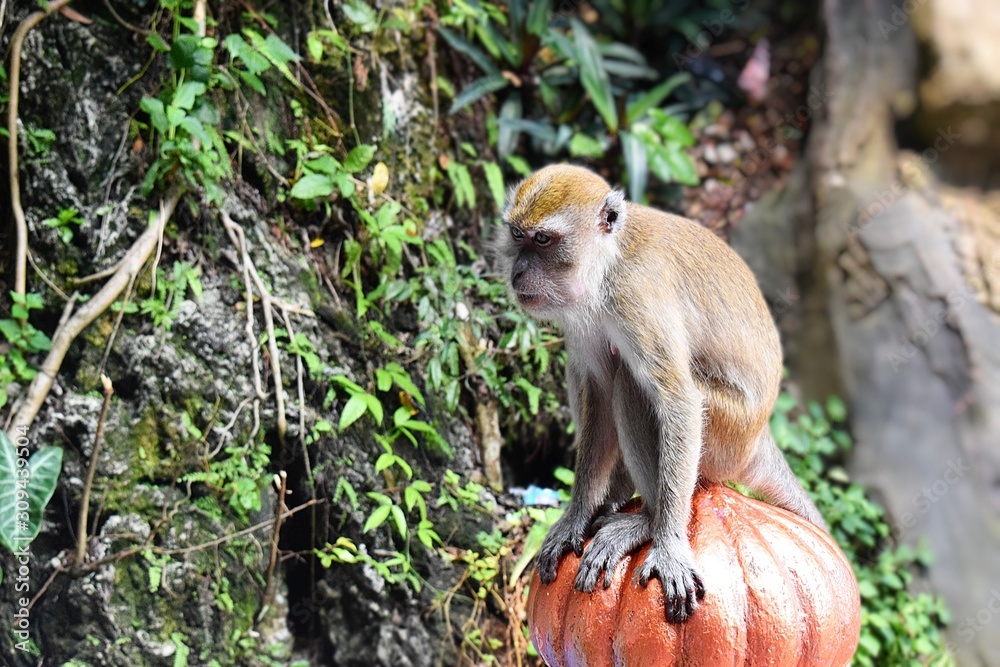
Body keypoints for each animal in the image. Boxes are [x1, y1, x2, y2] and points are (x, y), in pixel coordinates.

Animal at [496, 164, 826, 623]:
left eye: (543, 240)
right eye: (517, 235)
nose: (517, 274)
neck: (608, 262)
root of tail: (760, 435)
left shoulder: (637, 299)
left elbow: (678, 402)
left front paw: (667, 544)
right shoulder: (584, 315)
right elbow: (597, 390)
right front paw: (576, 516)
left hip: (726, 435)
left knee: (633, 385)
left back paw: (648, 521)